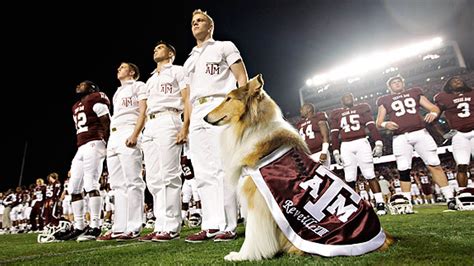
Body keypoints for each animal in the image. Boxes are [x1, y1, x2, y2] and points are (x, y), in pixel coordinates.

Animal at [204, 74, 392, 260]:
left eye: (228, 98)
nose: (205, 117)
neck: (252, 125)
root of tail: (383, 238)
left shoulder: (257, 198)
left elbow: (253, 234)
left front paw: (242, 256)